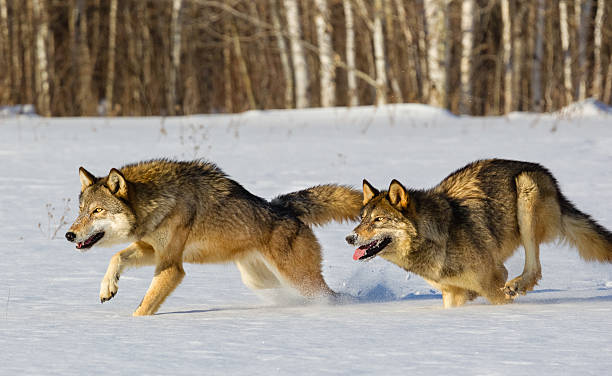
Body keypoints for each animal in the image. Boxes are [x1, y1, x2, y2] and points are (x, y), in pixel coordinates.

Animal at [65, 157, 364, 316]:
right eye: (80, 211)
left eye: (97, 210)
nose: (69, 235)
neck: (158, 202)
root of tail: (283, 207)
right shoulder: (153, 250)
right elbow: (117, 257)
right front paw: (108, 288)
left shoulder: (172, 267)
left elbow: (145, 305)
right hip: (260, 280)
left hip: (298, 279)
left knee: (330, 295)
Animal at [346, 159, 608, 308]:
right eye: (362, 219)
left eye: (378, 220)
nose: (350, 238)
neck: (438, 239)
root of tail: (547, 175)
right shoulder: (452, 294)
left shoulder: (493, 280)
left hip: (525, 192)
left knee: (534, 267)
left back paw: (518, 285)